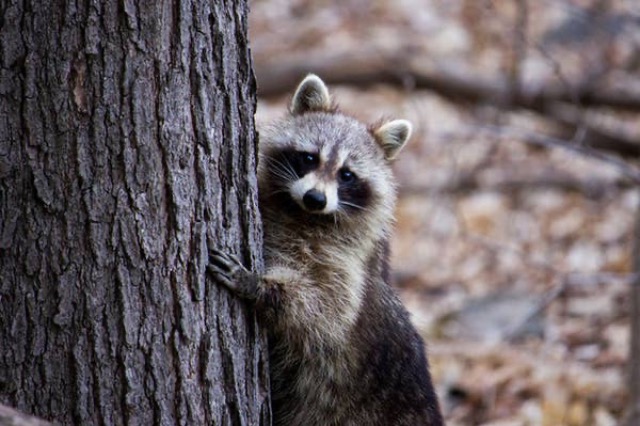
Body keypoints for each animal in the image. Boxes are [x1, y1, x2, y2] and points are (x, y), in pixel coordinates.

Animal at [208, 75, 442, 424]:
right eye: (309, 158)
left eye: (346, 174)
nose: (315, 198)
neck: (301, 214)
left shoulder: (348, 264)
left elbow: (326, 312)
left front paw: (260, 287)